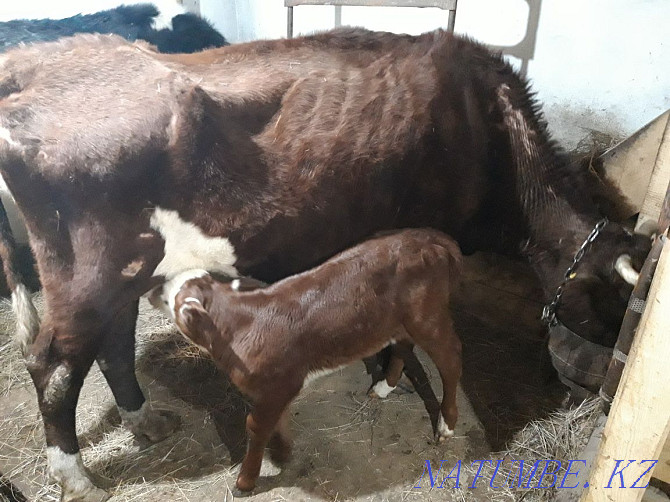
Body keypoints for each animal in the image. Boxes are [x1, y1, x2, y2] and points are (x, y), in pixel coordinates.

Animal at [156, 228, 468, 494]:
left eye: (174, 298)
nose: (158, 285)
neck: (240, 323)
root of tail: (431, 237)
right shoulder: (277, 388)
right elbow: (276, 421)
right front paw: (283, 453)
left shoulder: (278, 383)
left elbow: (255, 426)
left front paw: (246, 481)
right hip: (397, 320)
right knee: (403, 345)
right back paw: (383, 387)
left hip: (428, 317)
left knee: (451, 359)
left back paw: (445, 425)